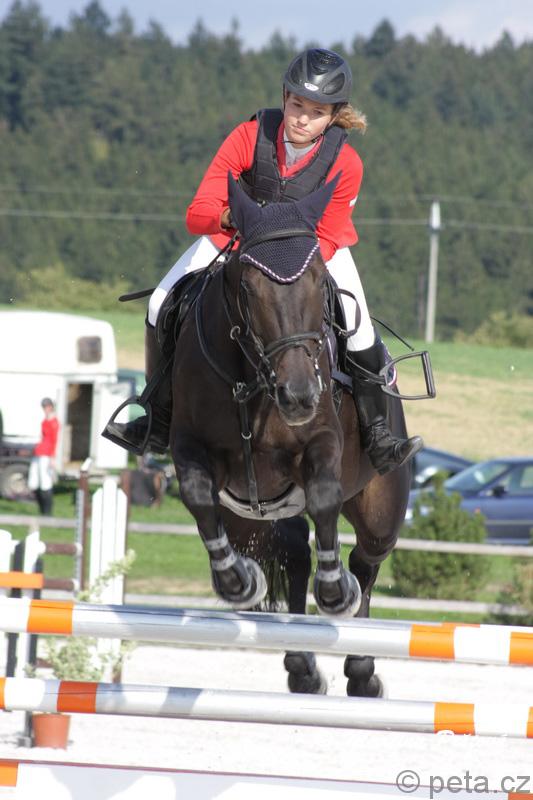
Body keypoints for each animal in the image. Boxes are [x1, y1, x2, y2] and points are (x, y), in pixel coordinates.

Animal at [169, 174, 414, 697]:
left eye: (320, 281)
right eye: (248, 285)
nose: (299, 395)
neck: (252, 380)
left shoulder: (319, 443)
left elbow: (323, 497)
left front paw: (335, 592)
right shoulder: (190, 448)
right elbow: (198, 497)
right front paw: (238, 581)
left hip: (381, 508)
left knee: (366, 560)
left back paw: (361, 668)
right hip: (252, 514)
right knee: (294, 555)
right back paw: (302, 665)